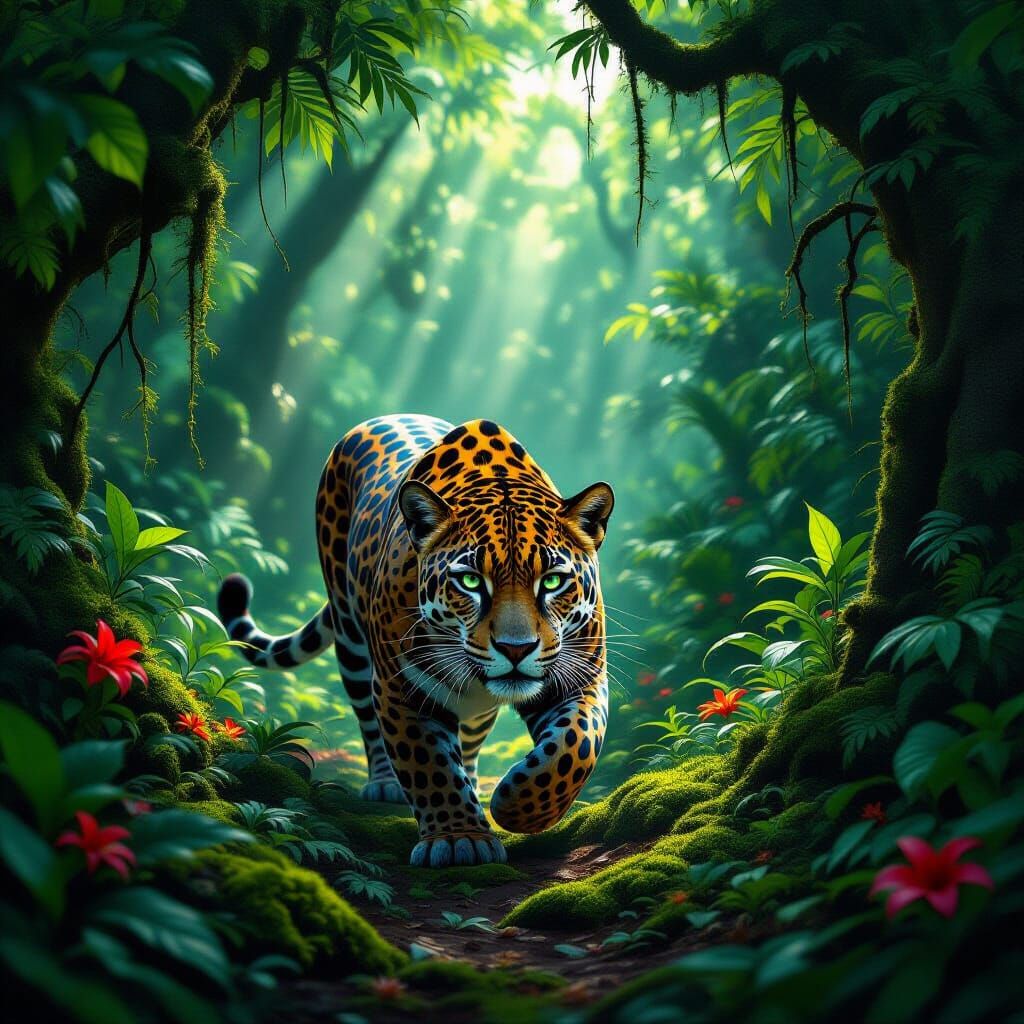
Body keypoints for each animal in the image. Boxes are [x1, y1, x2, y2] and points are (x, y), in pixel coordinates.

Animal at [217, 415, 613, 867]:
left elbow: (575, 747)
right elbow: (429, 765)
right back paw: (386, 784)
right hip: (352, 641)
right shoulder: (403, 688)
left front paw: (518, 806)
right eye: (470, 581)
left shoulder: (581, 678)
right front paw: (460, 840)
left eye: (551, 581)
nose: (516, 649)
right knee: (369, 721)